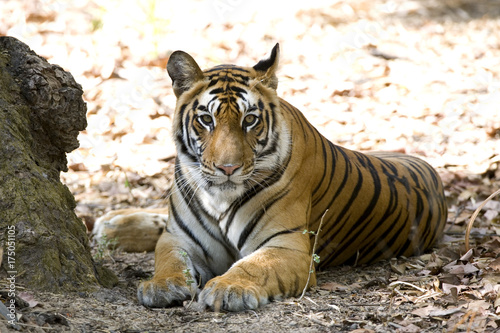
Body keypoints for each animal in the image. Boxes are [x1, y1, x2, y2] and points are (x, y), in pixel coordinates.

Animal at [114, 43, 450, 312]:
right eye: (206, 120)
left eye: (250, 120)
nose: (228, 168)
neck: (218, 198)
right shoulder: (178, 237)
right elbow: (168, 260)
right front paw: (161, 285)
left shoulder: (287, 245)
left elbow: (254, 265)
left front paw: (228, 287)